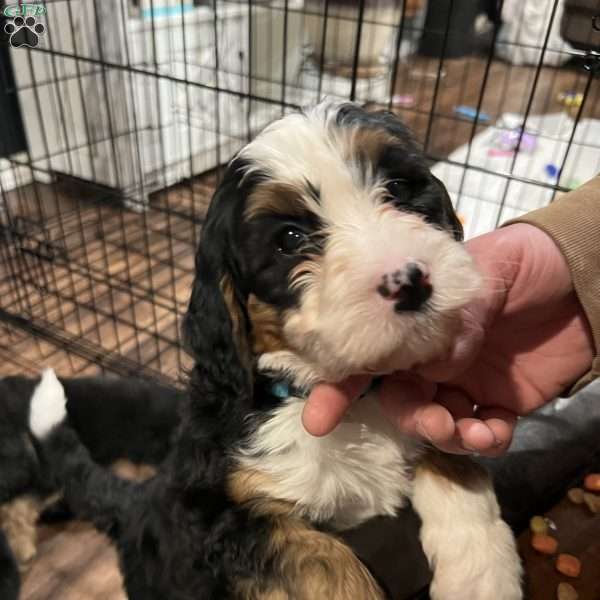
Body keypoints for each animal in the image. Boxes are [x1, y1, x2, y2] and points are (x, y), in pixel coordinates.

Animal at [30, 103, 524, 600]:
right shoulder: (219, 516)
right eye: (289, 239)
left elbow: (452, 457)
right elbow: (323, 559)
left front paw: (483, 574)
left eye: (399, 189)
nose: (409, 281)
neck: (351, 402)